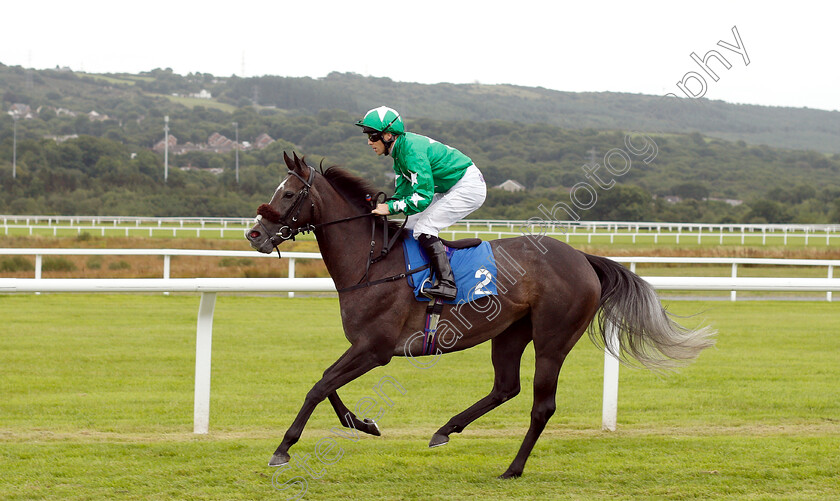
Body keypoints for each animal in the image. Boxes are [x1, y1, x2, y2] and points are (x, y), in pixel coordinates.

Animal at [244, 151, 716, 476]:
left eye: (288, 193)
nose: (254, 234)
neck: (372, 261)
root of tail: (581, 257)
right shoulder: (363, 346)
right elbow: (327, 385)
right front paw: (363, 423)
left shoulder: (375, 349)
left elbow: (319, 386)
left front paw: (283, 449)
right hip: (509, 332)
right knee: (505, 387)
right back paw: (445, 430)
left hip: (552, 341)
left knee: (542, 406)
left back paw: (512, 468)